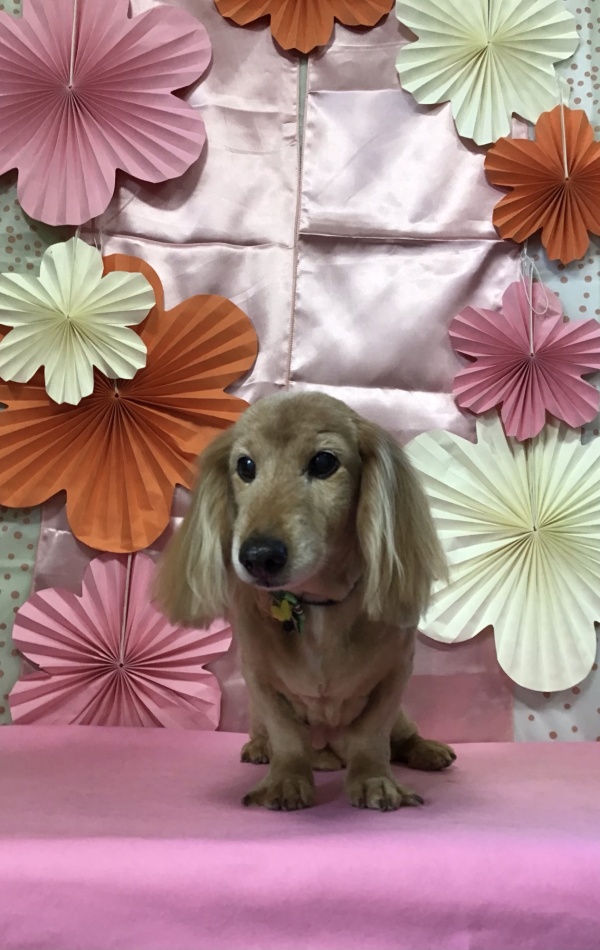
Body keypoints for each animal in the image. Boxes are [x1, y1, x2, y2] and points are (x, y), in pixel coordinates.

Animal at [156, 391, 455, 812]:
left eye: (324, 462)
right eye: (245, 465)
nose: (259, 556)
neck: (316, 606)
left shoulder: (396, 673)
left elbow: (372, 736)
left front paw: (373, 779)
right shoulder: (260, 679)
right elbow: (287, 738)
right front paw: (285, 780)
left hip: (403, 718)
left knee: (402, 737)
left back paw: (425, 750)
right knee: (269, 735)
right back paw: (264, 749)